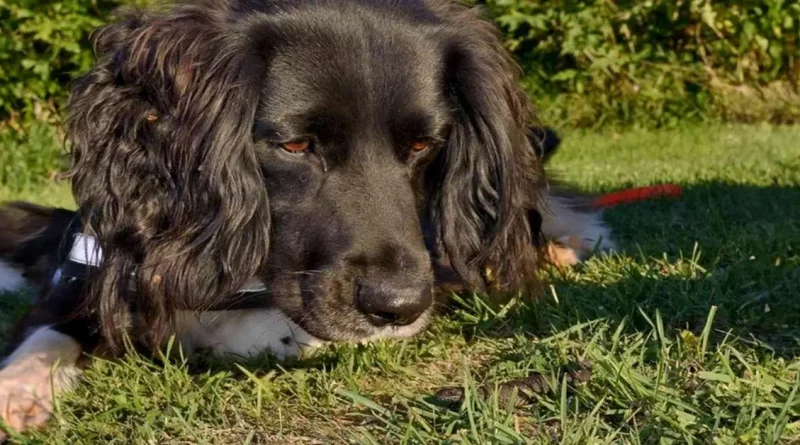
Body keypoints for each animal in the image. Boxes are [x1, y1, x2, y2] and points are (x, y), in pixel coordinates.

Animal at [0, 0, 612, 434]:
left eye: (424, 144)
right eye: (295, 146)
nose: (399, 306)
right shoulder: (94, 266)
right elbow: (47, 329)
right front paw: (17, 389)